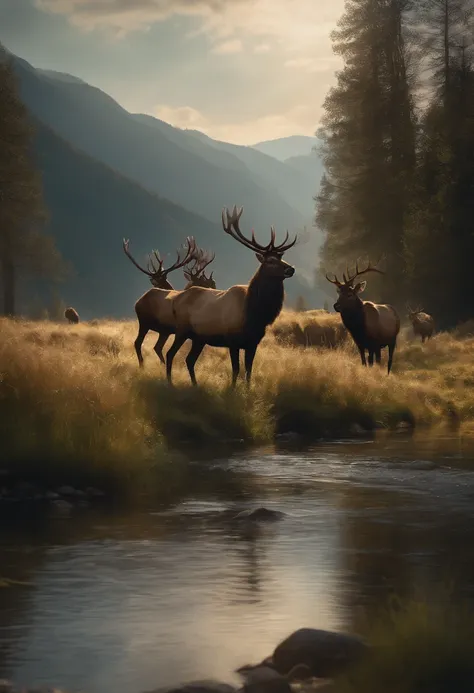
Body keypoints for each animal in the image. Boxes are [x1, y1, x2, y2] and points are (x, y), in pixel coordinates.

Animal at [123, 237, 218, 368]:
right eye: (205, 282)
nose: (215, 287)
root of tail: (137, 303)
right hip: (144, 323)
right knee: (138, 343)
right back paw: (142, 366)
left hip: (162, 330)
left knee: (156, 347)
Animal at [165, 205, 294, 390]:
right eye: (270, 260)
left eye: (282, 258)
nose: (291, 269)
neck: (254, 314)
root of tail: (175, 300)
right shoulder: (232, 340)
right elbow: (236, 369)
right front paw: (232, 390)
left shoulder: (253, 342)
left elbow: (248, 370)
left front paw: (247, 391)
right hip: (182, 329)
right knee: (170, 354)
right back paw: (170, 382)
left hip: (199, 338)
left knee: (189, 360)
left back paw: (196, 385)